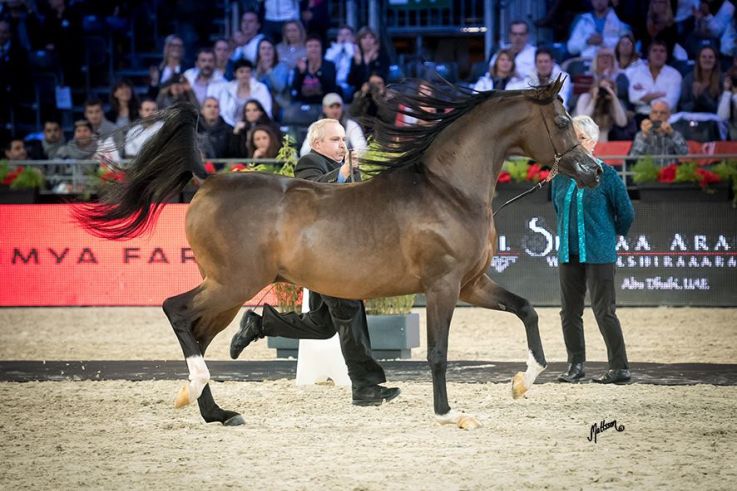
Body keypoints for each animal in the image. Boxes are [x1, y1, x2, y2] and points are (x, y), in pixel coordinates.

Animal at [73, 76, 601, 428]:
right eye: (560, 121)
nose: (593, 171)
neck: (448, 190)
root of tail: (208, 181)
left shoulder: (472, 283)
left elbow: (527, 310)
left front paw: (523, 381)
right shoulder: (443, 286)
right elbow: (437, 351)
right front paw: (448, 413)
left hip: (227, 292)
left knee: (200, 331)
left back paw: (217, 411)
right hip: (231, 283)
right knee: (176, 311)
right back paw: (200, 392)